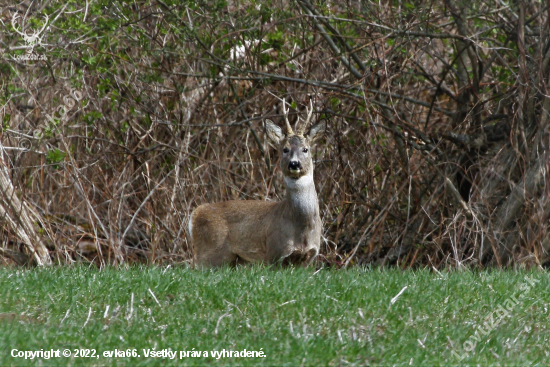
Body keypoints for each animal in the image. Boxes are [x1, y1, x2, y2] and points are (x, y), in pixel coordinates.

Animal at [191, 100, 328, 268]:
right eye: (285, 149)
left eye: (305, 149)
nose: (294, 163)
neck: (302, 228)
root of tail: (195, 215)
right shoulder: (274, 252)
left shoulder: (310, 256)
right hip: (208, 253)